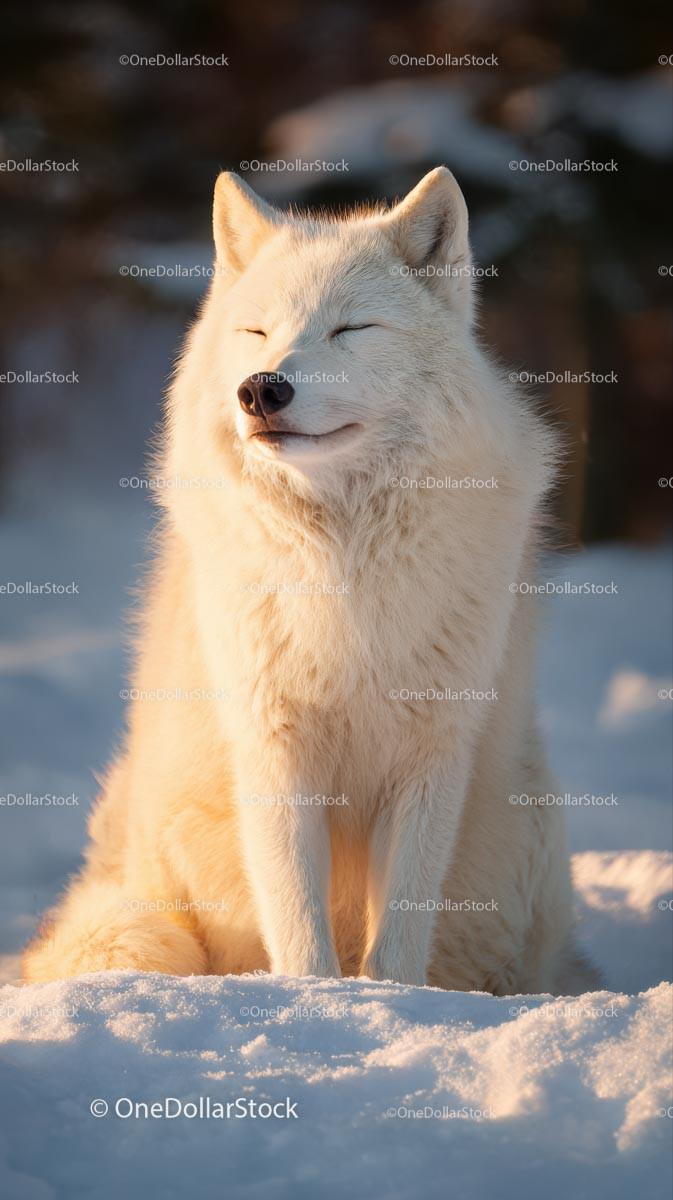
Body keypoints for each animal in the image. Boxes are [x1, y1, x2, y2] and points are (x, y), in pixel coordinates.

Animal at [23, 166, 594, 994]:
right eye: (257, 334)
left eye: (350, 330)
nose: (262, 388)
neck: (340, 562)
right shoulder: (274, 746)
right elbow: (298, 923)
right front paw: (315, 997)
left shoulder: (431, 754)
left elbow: (397, 936)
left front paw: (389, 1000)